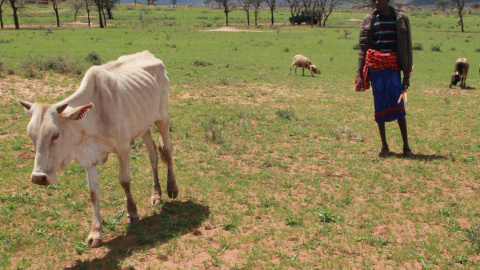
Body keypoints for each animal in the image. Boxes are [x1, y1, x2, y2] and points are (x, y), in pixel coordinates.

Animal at [19, 50, 178, 247]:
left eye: (55, 135)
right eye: (31, 135)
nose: (38, 177)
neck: (94, 116)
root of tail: (149, 54)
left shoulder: (123, 148)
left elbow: (125, 180)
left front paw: (132, 213)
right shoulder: (89, 158)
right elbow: (93, 193)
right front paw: (96, 233)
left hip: (162, 118)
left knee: (168, 150)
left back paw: (172, 188)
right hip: (143, 126)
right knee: (153, 155)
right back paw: (156, 195)